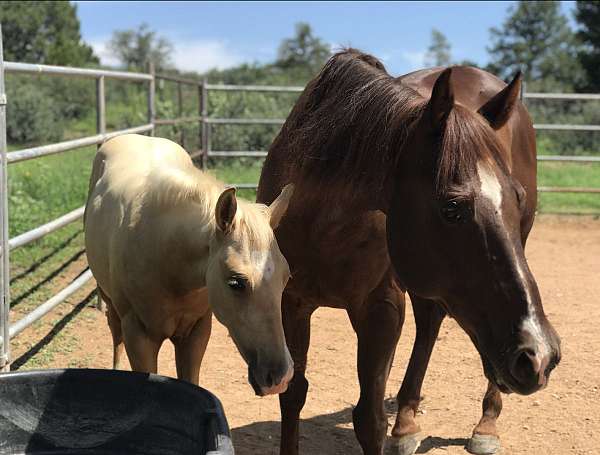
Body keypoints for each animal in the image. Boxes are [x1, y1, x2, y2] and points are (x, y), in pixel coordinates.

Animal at [86, 134, 296, 398]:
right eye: (235, 282)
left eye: (286, 278)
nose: (280, 377)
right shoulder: (139, 337)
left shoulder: (196, 333)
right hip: (110, 303)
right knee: (116, 338)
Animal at [258, 48, 564, 454]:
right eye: (452, 207)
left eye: (518, 198)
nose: (540, 354)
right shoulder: (291, 302)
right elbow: (293, 394)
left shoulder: (382, 308)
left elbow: (369, 418)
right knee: (430, 324)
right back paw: (405, 423)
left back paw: (485, 424)